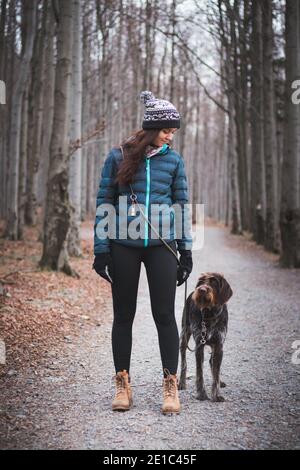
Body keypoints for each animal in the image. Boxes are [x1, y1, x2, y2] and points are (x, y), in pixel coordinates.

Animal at [179, 274, 233, 402]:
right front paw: (202, 394)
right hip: (184, 335)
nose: (201, 289)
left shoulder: (219, 345)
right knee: (183, 362)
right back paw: (181, 383)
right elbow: (200, 373)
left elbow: (216, 373)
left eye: (214, 282)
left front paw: (216, 394)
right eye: (201, 281)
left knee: (211, 363)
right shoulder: (199, 346)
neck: (210, 313)